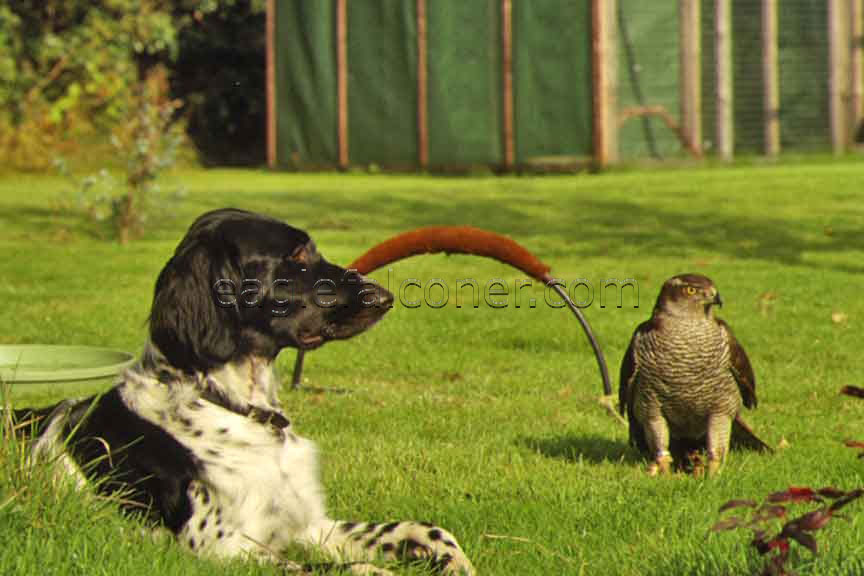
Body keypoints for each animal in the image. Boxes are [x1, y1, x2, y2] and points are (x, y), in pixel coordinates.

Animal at [13, 210, 472, 576]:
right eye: (297, 255)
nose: (385, 296)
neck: (235, 406)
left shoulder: (309, 525)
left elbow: (425, 529)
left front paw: (454, 561)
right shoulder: (221, 549)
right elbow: (341, 569)